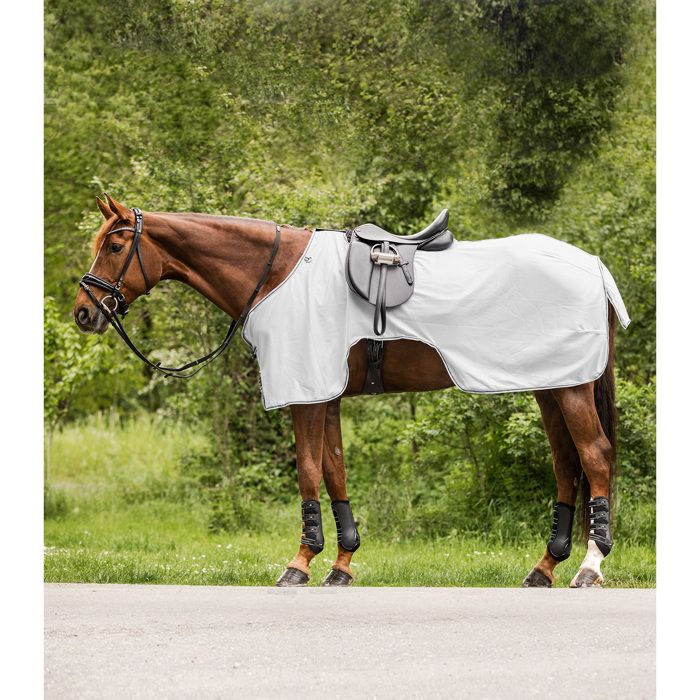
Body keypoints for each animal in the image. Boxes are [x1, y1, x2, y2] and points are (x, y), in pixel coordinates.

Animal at [74, 194, 621, 589]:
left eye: (115, 247)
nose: (83, 312)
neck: (276, 275)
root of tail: (593, 265)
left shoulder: (306, 394)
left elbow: (308, 471)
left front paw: (299, 563)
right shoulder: (325, 394)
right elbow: (334, 470)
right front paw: (342, 563)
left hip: (571, 388)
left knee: (594, 457)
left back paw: (589, 567)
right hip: (551, 387)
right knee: (566, 464)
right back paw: (544, 568)